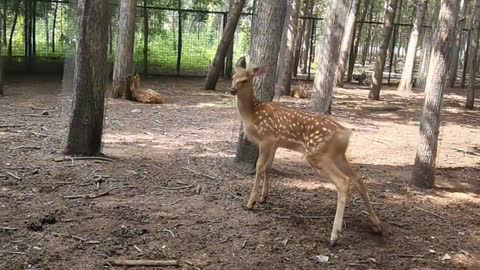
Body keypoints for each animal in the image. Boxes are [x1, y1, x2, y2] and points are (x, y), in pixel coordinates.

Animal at [232, 66, 382, 247]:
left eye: (245, 80)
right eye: (233, 77)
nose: (232, 90)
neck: (253, 115)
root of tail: (344, 133)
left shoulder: (266, 138)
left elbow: (260, 167)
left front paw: (250, 202)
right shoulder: (275, 143)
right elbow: (268, 167)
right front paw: (264, 197)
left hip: (316, 154)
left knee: (344, 181)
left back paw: (334, 236)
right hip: (338, 156)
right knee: (358, 178)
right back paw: (376, 224)